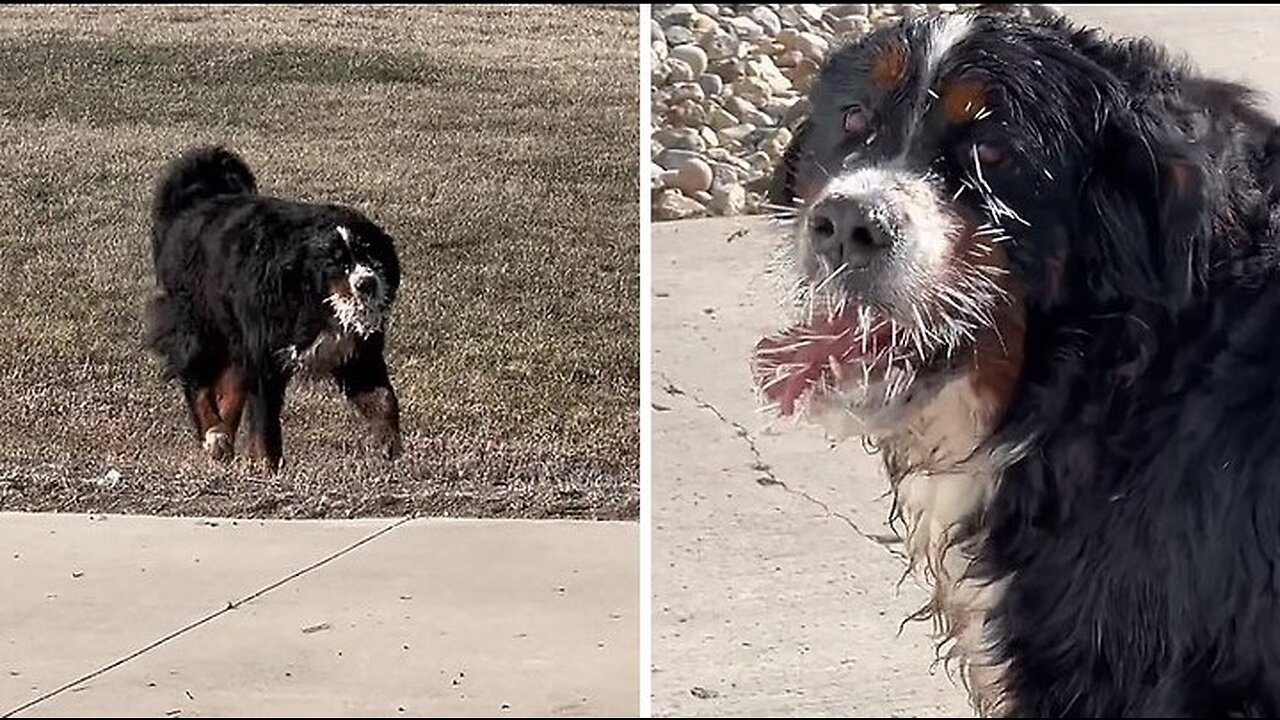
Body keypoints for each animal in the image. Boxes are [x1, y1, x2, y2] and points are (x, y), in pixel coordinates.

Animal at [146, 146, 401, 471]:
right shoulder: (266, 357)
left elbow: (384, 402)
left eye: (371, 253)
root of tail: (197, 202)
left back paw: (224, 441)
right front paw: (268, 468)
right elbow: (266, 425)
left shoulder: (359, 355)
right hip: (198, 327)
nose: (367, 283)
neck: (310, 295)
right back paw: (214, 434)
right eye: (337, 262)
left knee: (230, 390)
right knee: (197, 382)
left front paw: (391, 453)